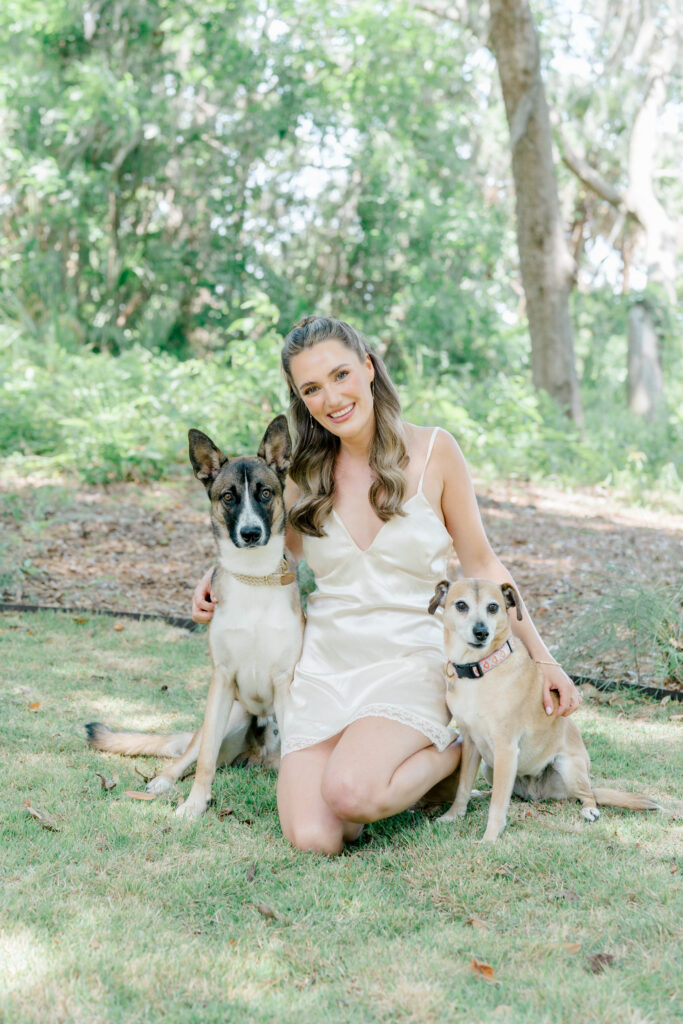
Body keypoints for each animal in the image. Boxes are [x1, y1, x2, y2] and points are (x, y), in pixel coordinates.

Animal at [430, 573, 659, 843]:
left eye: (493, 607)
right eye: (461, 605)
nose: (481, 632)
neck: (481, 669)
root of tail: (536, 794)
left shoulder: (506, 747)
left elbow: (498, 805)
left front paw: (490, 838)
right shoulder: (470, 744)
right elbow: (464, 786)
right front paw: (453, 815)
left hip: (568, 767)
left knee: (585, 795)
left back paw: (590, 810)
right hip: (490, 766)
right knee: (502, 792)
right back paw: (482, 794)